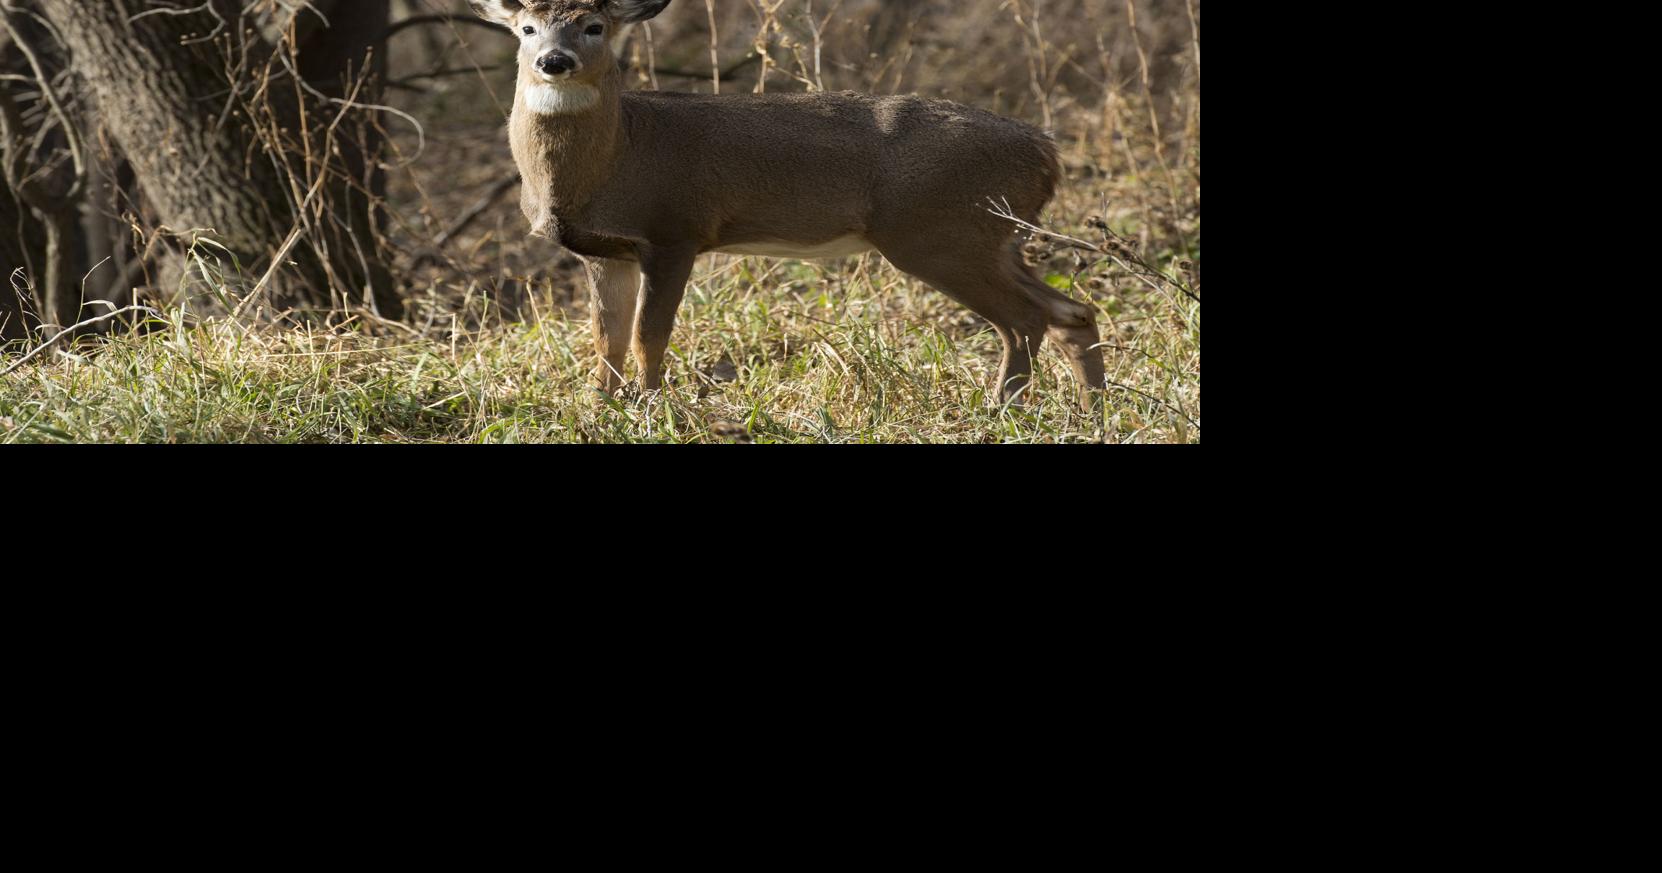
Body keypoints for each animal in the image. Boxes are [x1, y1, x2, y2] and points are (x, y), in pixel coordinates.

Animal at [466, 0, 1105, 407]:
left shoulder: (676, 231)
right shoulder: (606, 252)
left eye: (594, 26)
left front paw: (650, 407)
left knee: (1026, 319)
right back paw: (1091, 410)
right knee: (1073, 310)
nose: (554, 61)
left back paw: (1003, 409)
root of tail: (1046, 151)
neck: (618, 156)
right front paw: (603, 408)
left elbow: (650, 335)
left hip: (941, 233)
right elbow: (608, 341)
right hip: (994, 237)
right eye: (526, 28)